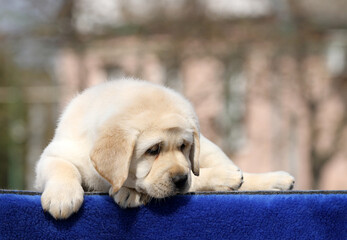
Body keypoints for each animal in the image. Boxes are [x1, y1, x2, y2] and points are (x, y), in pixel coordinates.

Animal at [35, 79, 294, 219]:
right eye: (153, 150)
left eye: (183, 146)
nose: (179, 179)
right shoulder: (55, 153)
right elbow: (61, 167)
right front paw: (62, 196)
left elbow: (195, 177)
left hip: (209, 149)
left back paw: (267, 179)